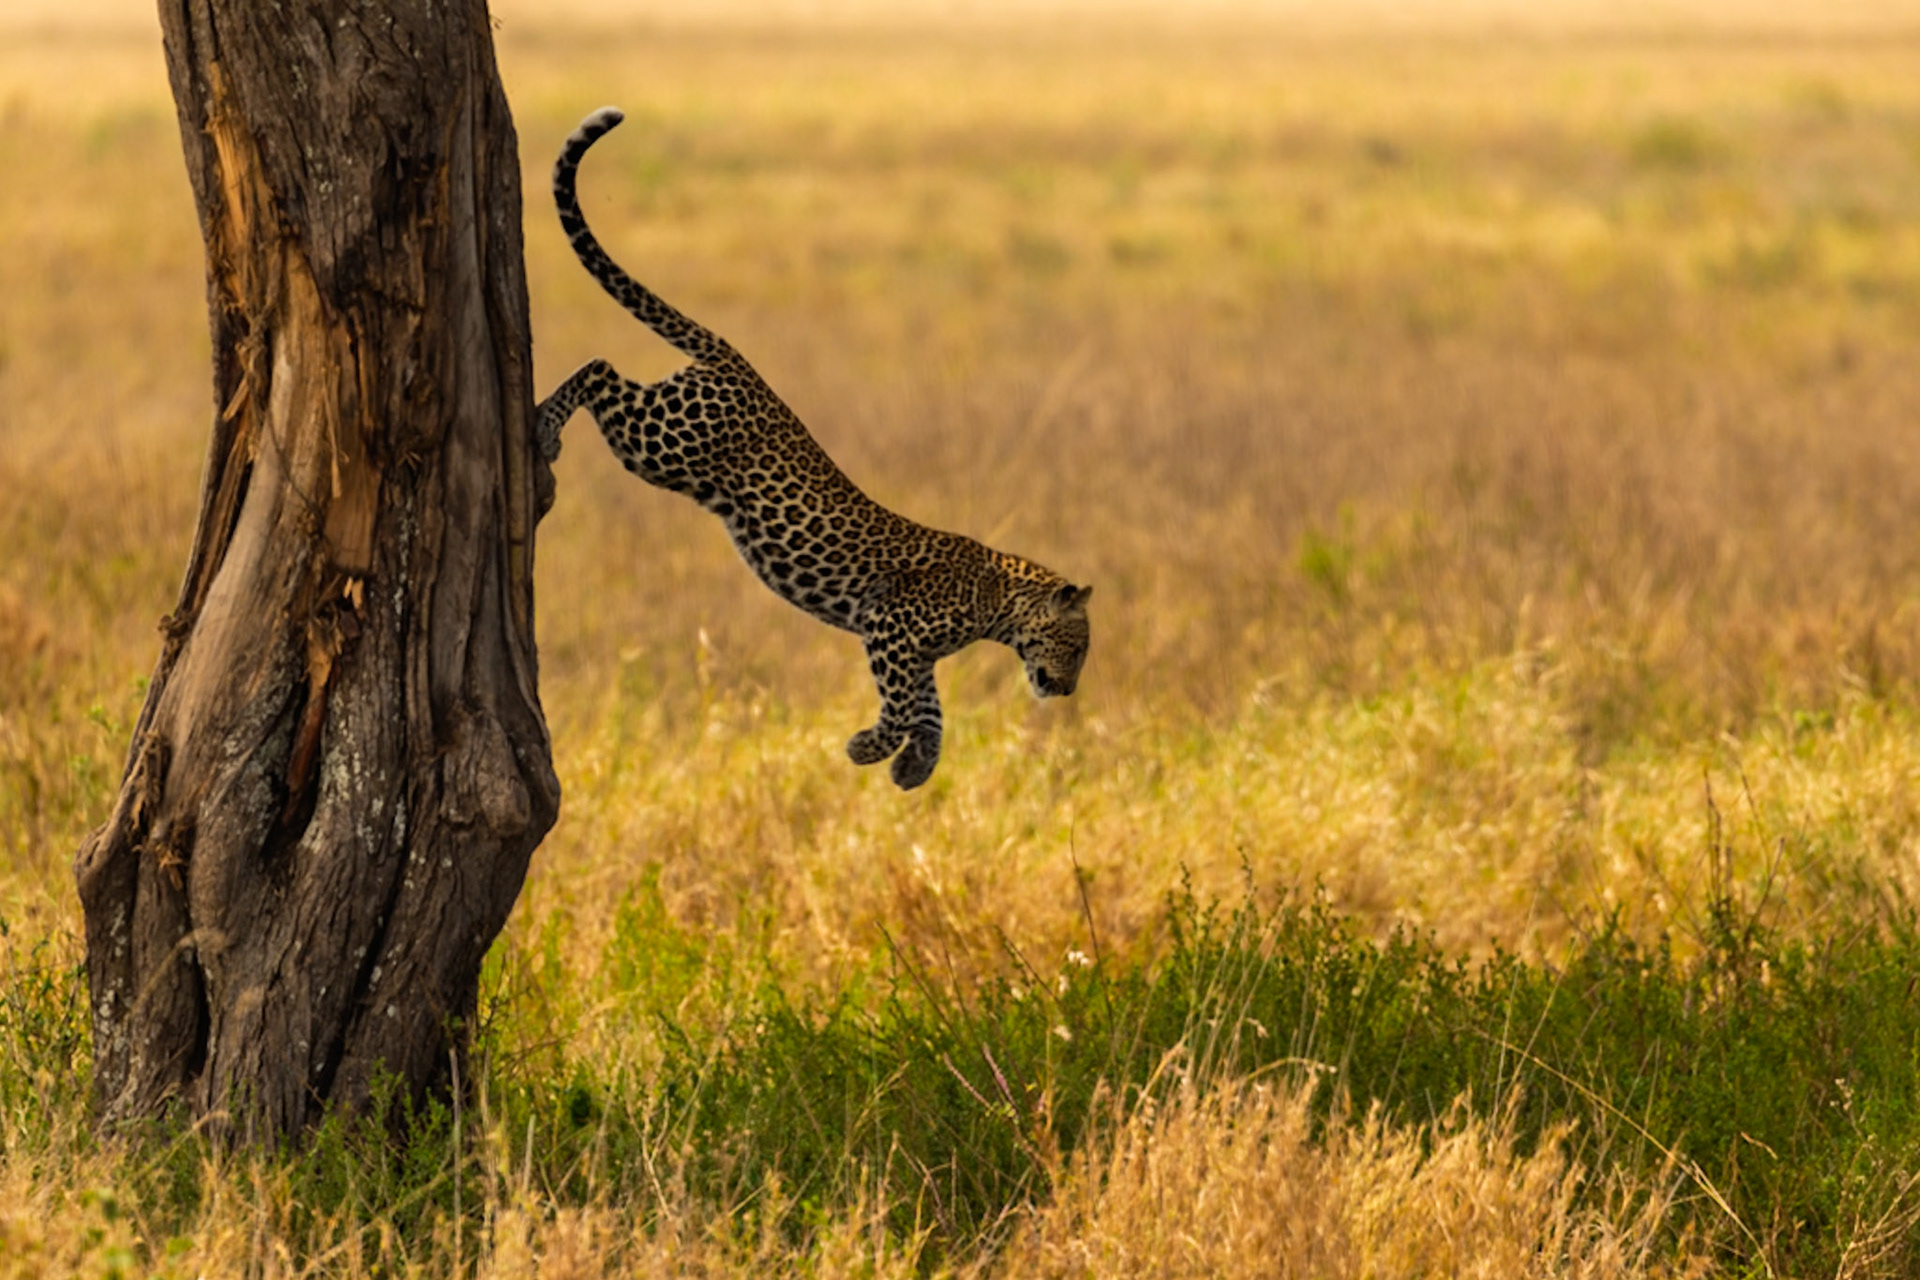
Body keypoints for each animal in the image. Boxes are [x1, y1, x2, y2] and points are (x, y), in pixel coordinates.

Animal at [536, 107, 1092, 791]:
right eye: (1076, 648)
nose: (1067, 692)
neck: (999, 600)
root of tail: (737, 360)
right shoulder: (892, 626)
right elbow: (903, 703)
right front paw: (872, 747)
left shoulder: (911, 649)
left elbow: (929, 708)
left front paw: (912, 765)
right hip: (663, 440)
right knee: (599, 367)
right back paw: (544, 425)